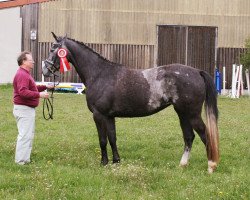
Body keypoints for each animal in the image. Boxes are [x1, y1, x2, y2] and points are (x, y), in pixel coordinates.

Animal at [43, 32, 219, 173]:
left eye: (53, 48)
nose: (46, 70)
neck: (100, 74)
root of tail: (197, 71)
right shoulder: (109, 116)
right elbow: (112, 138)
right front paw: (116, 161)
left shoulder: (98, 115)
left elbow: (102, 140)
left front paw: (104, 163)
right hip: (182, 113)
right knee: (189, 137)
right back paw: (183, 164)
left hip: (192, 114)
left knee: (204, 134)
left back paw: (211, 166)